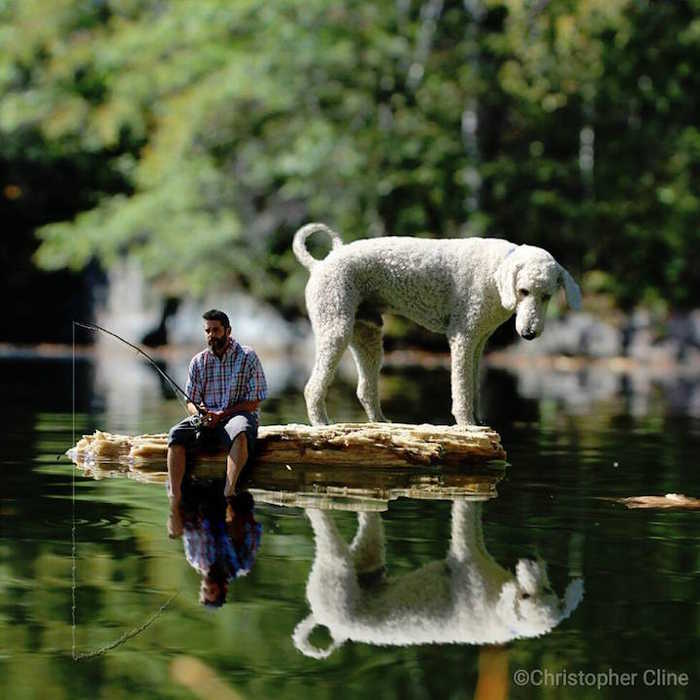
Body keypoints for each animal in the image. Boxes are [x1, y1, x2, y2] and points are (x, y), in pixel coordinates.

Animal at [292, 224, 584, 424]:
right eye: (523, 291)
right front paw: (468, 426)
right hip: (335, 326)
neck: (495, 274)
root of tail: (319, 264)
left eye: (547, 296)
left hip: (367, 334)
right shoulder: (463, 336)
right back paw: (322, 425)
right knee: (312, 387)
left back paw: (382, 424)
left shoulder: (479, 341)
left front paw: (479, 424)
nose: (528, 333)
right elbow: (462, 389)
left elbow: (473, 387)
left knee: (365, 389)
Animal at [292, 498, 584, 656]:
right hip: (338, 570)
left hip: (357, 561)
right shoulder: (468, 555)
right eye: (526, 596)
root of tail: (326, 621)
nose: (531, 558)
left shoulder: (472, 553)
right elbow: (467, 518)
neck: (498, 611)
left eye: (546, 590)